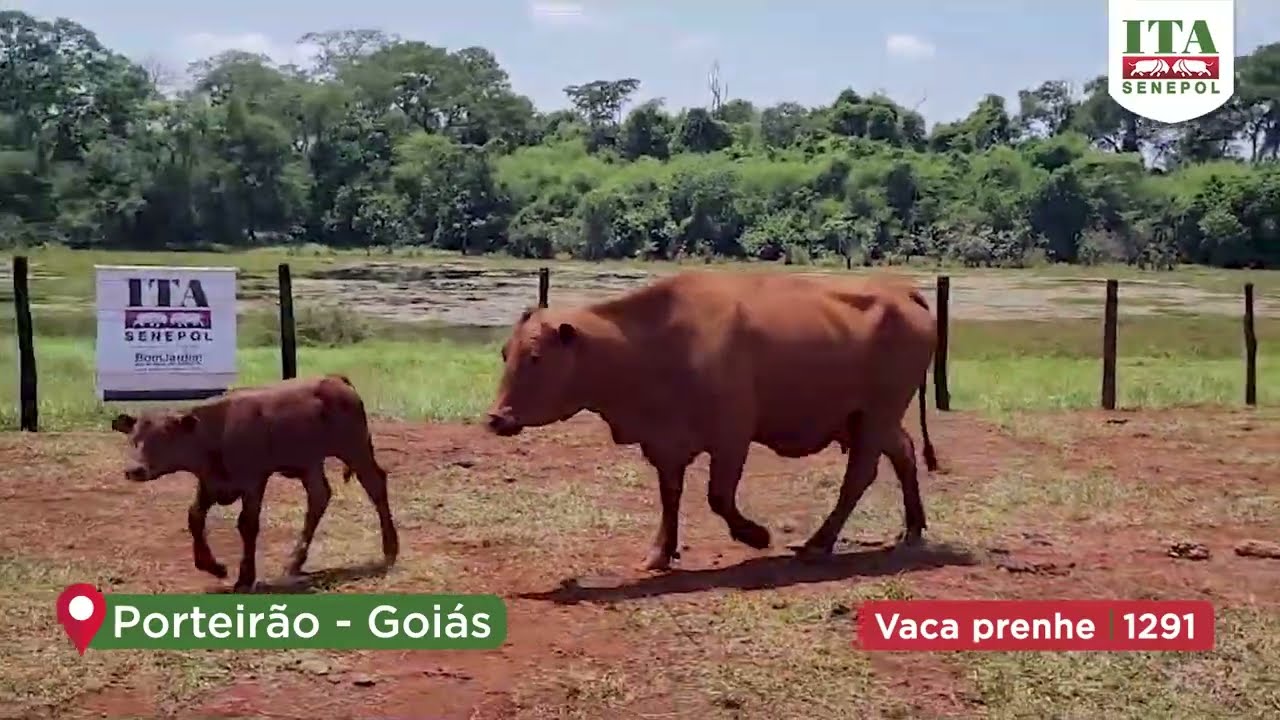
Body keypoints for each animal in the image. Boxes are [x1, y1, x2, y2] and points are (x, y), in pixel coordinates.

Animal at [110, 374, 399, 592]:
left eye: (165, 437)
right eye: (134, 438)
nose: (135, 470)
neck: (215, 431)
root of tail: (334, 379)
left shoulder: (254, 482)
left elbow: (247, 525)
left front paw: (244, 578)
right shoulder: (210, 483)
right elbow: (194, 517)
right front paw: (214, 567)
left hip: (355, 448)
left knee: (375, 486)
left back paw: (390, 549)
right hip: (310, 464)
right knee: (319, 496)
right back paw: (294, 562)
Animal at [485, 270, 939, 572]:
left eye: (535, 357)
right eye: (505, 353)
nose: (495, 417)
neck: (655, 343)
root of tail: (902, 291)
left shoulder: (732, 438)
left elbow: (718, 497)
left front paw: (757, 536)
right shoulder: (665, 444)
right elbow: (671, 497)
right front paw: (659, 553)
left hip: (875, 416)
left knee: (858, 476)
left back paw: (818, 544)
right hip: (868, 420)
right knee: (904, 453)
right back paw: (912, 530)